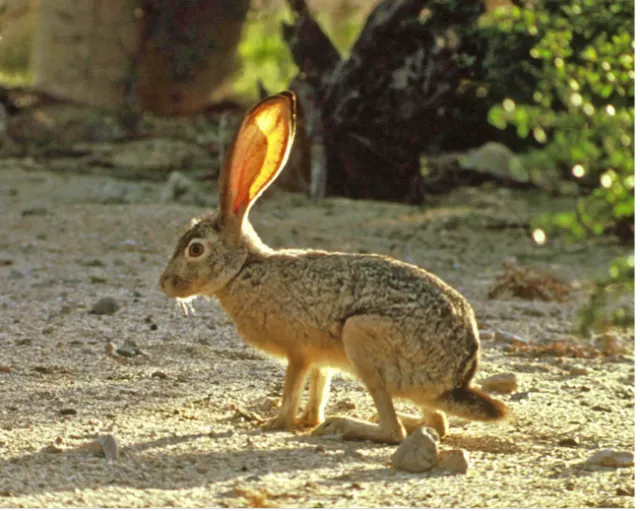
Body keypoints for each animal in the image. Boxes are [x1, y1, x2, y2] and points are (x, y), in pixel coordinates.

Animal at [159, 91, 509, 444]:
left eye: (195, 249)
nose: (164, 284)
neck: (244, 269)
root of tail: (456, 377)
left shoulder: (298, 351)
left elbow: (292, 388)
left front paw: (274, 422)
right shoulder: (320, 358)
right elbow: (318, 387)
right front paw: (307, 420)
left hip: (361, 338)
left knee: (394, 430)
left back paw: (345, 425)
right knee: (436, 425)